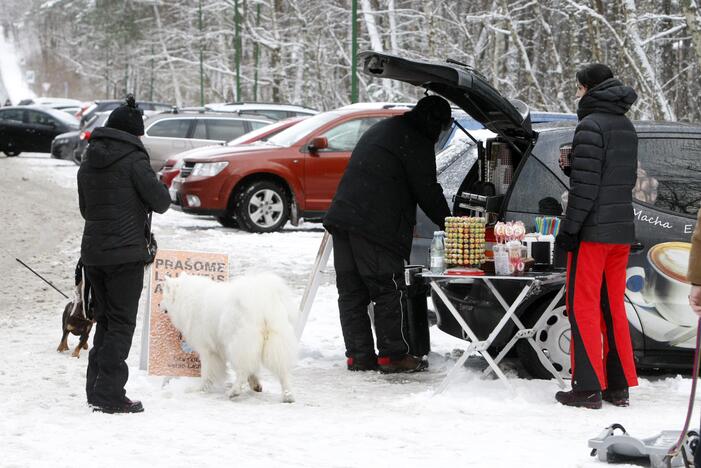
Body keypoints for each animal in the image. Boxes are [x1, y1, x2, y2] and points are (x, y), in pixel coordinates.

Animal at [161, 272, 298, 404]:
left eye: (164, 296)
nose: (159, 304)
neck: (187, 298)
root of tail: (262, 302)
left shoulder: (207, 350)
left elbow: (206, 372)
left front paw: (199, 388)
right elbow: (252, 370)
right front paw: (255, 384)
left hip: (236, 345)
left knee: (242, 371)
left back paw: (234, 391)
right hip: (274, 343)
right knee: (283, 372)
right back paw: (288, 396)